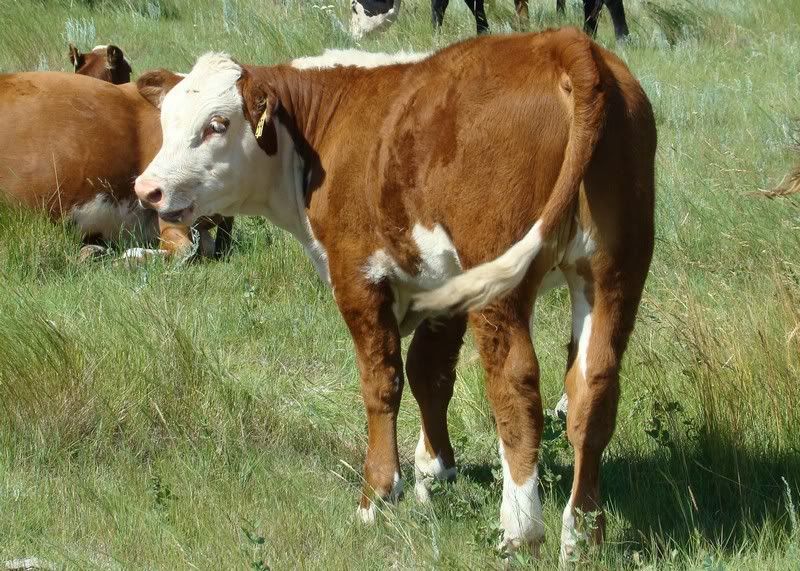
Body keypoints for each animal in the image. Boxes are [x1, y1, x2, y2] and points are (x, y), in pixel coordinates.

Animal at [133, 28, 656, 560]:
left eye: (217, 124)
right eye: (165, 121)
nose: (147, 188)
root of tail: (563, 43)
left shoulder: (356, 273)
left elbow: (381, 382)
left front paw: (378, 495)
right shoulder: (442, 281)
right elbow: (430, 372)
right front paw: (437, 468)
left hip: (502, 273)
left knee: (515, 385)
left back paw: (520, 528)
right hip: (615, 269)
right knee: (593, 390)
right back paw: (583, 534)